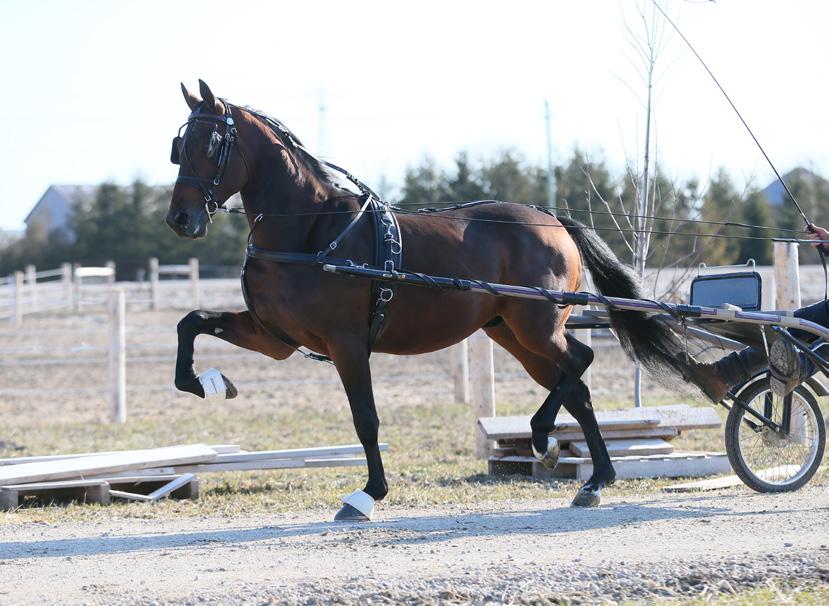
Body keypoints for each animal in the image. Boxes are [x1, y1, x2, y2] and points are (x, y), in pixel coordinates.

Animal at [167, 79, 709, 520]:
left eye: (209, 143)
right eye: (179, 145)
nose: (180, 219)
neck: (312, 229)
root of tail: (550, 218)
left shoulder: (346, 344)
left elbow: (366, 419)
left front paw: (368, 495)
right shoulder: (274, 337)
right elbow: (191, 321)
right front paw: (209, 382)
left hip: (537, 327)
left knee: (581, 360)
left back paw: (544, 438)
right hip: (513, 335)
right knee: (577, 387)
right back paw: (592, 478)